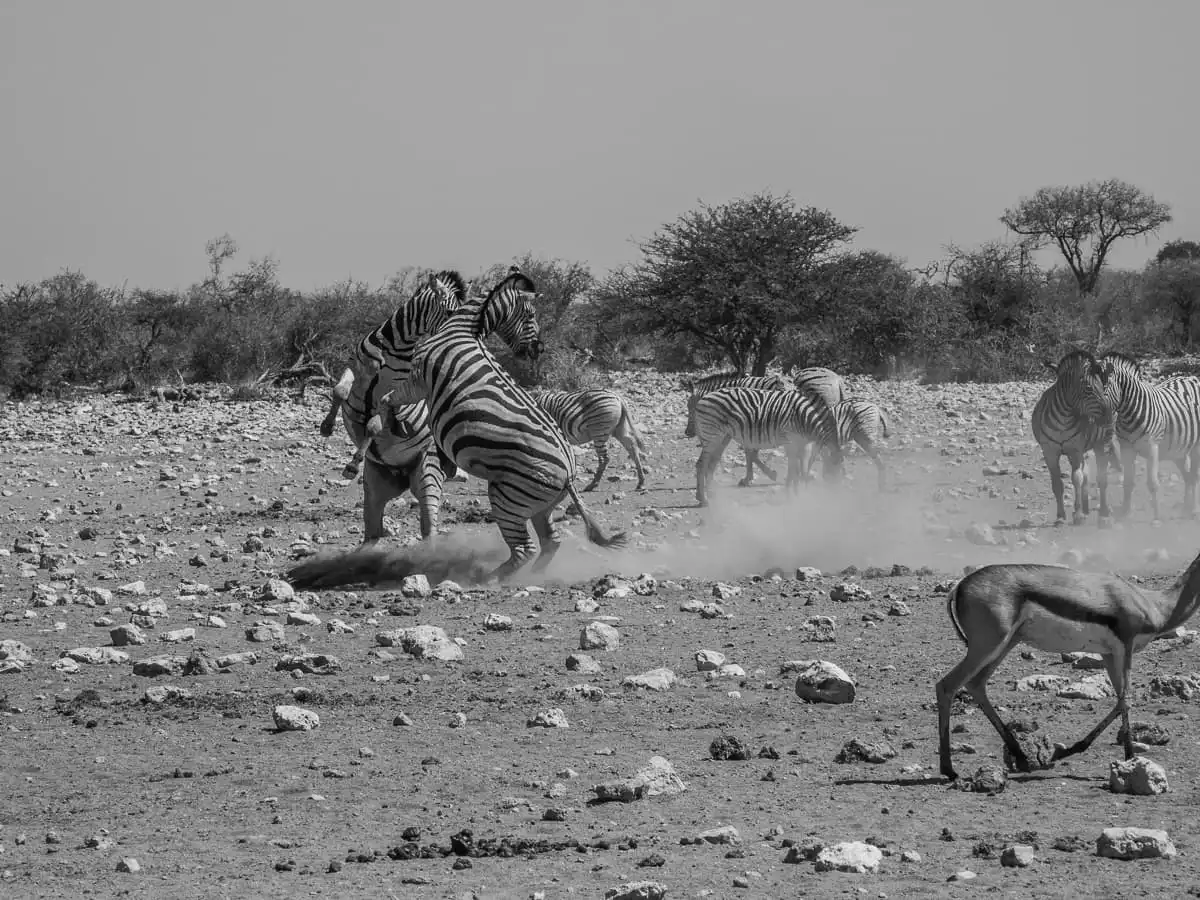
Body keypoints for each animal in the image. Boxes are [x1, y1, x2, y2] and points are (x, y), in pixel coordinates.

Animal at [319, 268, 539, 543]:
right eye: (449, 313)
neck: (396, 345)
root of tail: (402, 476)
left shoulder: (397, 396)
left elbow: (374, 425)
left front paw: (353, 462)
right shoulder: (356, 369)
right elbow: (339, 390)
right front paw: (326, 427)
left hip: (427, 472)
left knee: (429, 527)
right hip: (378, 483)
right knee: (374, 528)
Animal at [382, 269, 627, 581]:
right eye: (532, 315)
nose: (538, 349)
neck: (462, 330)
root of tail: (570, 476)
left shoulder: (417, 380)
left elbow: (389, 400)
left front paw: (387, 426)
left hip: (507, 499)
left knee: (525, 549)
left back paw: (489, 579)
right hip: (538, 506)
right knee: (550, 541)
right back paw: (532, 576)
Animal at [690, 387, 843, 507]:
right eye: (835, 472)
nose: (837, 499)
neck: (805, 417)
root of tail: (704, 397)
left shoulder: (805, 445)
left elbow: (803, 471)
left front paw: (802, 495)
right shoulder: (790, 442)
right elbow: (793, 471)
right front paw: (791, 495)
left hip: (723, 437)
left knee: (712, 463)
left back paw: (711, 494)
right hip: (712, 436)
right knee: (701, 464)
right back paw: (703, 499)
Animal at [1029, 349, 1120, 526]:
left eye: (1102, 386)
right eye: (1088, 388)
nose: (1107, 418)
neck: (1062, 420)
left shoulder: (1075, 449)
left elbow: (1077, 479)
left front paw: (1077, 515)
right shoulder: (1050, 452)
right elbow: (1058, 484)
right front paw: (1061, 516)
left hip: (1102, 443)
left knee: (1101, 478)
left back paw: (1103, 511)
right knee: (1086, 473)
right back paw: (1085, 508)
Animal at [1101, 352, 1200, 521]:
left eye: (1104, 388)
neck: (1129, 413)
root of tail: (1192, 377)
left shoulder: (1152, 446)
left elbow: (1153, 484)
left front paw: (1156, 517)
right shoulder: (1126, 448)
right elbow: (1128, 482)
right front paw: (1125, 513)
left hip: (1196, 446)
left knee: (1193, 476)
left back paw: (1193, 510)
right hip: (1178, 449)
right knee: (1187, 476)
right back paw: (1185, 509)